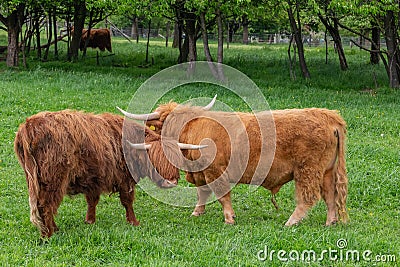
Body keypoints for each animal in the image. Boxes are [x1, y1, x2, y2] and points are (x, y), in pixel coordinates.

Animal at [14, 110, 202, 239]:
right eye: (155, 160)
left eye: (175, 159)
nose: (171, 182)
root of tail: (28, 126)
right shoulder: (125, 179)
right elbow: (127, 201)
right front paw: (134, 222)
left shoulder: (93, 179)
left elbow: (92, 201)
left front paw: (90, 221)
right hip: (53, 179)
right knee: (46, 205)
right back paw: (49, 234)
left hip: (34, 180)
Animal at [119, 98, 350, 228]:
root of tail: (329, 116)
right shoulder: (201, 173)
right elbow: (202, 193)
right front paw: (197, 212)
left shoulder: (215, 171)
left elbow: (222, 196)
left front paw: (229, 218)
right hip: (326, 170)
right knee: (330, 195)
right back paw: (330, 222)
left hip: (307, 170)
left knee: (308, 198)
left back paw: (291, 222)